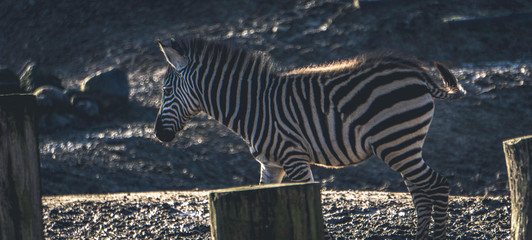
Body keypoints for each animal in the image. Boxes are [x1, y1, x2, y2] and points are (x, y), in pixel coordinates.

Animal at [154, 38, 466, 239]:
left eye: (167, 91)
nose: (158, 134)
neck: (253, 106)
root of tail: (419, 74)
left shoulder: (293, 158)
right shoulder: (270, 165)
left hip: (396, 143)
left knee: (437, 185)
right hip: (404, 146)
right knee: (421, 191)